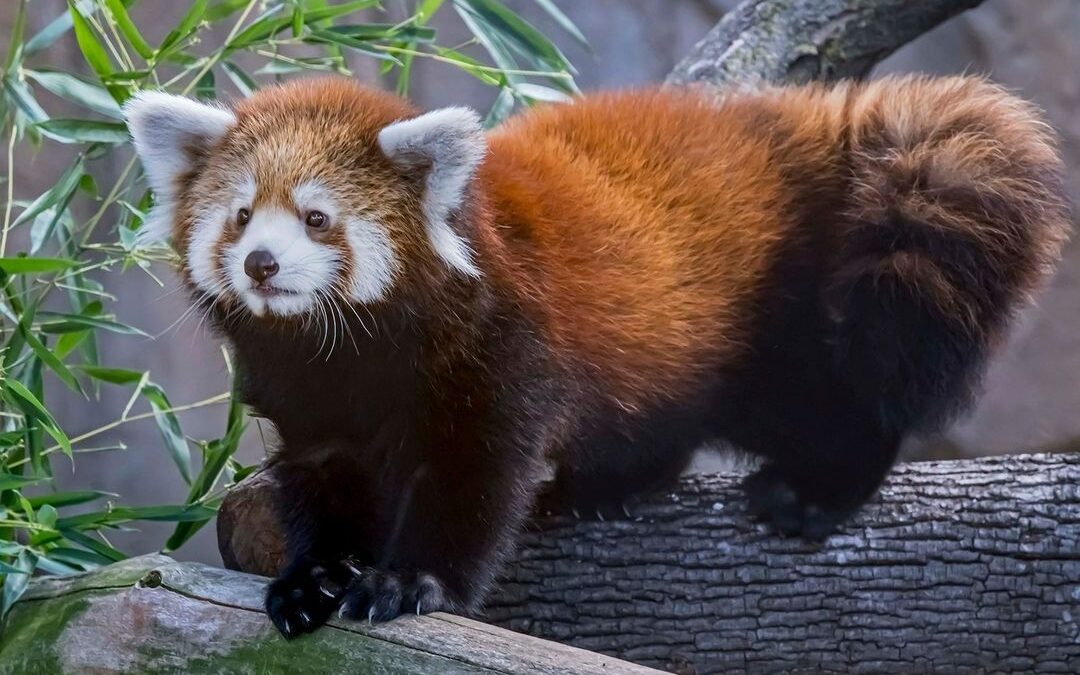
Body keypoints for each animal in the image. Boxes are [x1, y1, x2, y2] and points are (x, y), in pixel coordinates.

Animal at [124, 75, 1071, 635]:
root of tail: (782, 123)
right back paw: (604, 486)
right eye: (242, 216)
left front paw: (408, 580)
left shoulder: (503, 347)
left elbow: (474, 474)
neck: (352, 350)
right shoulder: (312, 397)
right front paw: (314, 574)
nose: (261, 263)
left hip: (776, 311)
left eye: (318, 218)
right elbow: (321, 480)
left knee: (828, 392)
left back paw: (818, 484)